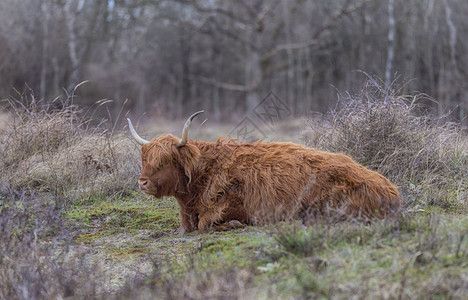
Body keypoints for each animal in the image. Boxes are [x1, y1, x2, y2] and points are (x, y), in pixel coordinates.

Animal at [127, 111, 398, 233]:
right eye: (145, 159)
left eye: (165, 161)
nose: (142, 182)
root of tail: (390, 188)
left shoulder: (232, 204)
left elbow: (207, 223)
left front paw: (234, 224)